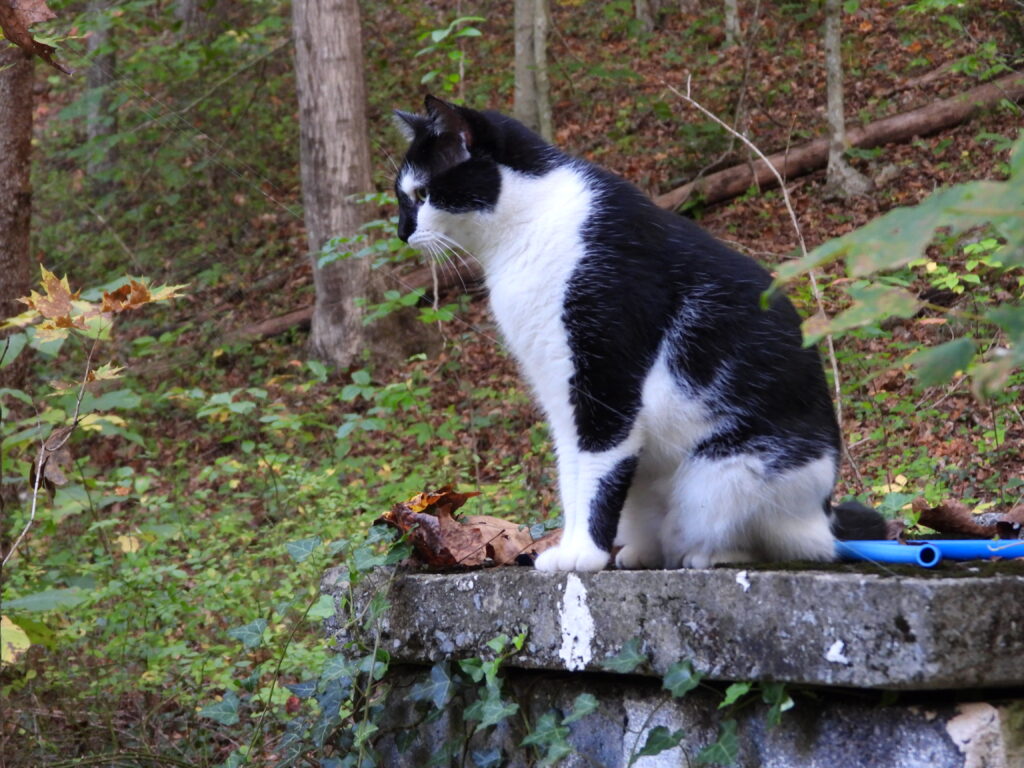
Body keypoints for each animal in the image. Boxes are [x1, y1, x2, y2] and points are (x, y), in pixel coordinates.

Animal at [395, 96, 876, 573]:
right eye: (402, 197)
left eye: (422, 195)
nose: (401, 233)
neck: (530, 224)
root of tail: (821, 519)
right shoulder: (559, 386)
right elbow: (572, 470)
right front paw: (570, 548)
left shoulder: (604, 376)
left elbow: (597, 464)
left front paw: (583, 554)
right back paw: (640, 551)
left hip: (722, 476)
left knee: (753, 537)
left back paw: (708, 554)